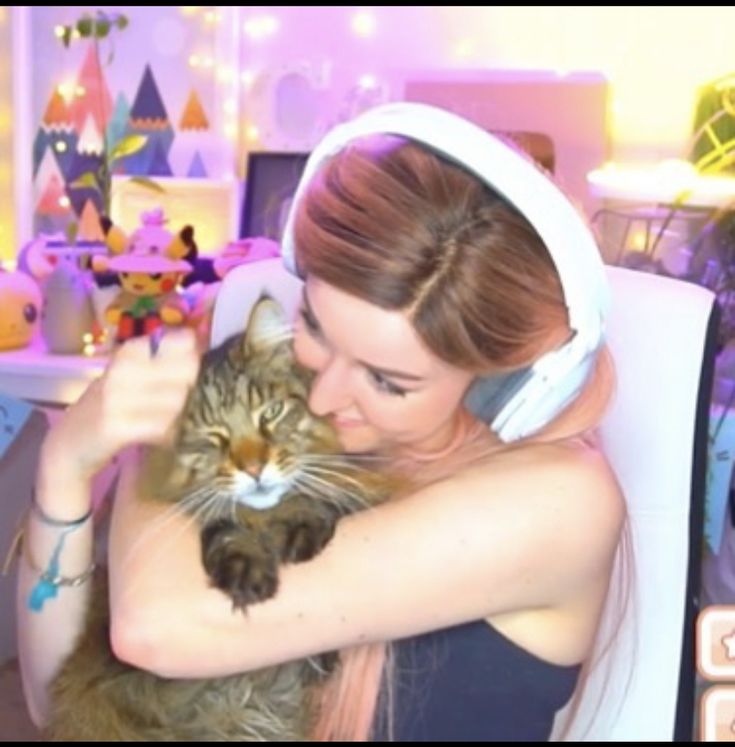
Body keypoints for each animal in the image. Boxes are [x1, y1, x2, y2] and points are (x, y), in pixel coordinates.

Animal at [44, 296, 396, 740]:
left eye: (271, 413)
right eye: (214, 437)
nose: (255, 469)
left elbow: (314, 496)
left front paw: (301, 521)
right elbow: (223, 521)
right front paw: (246, 565)